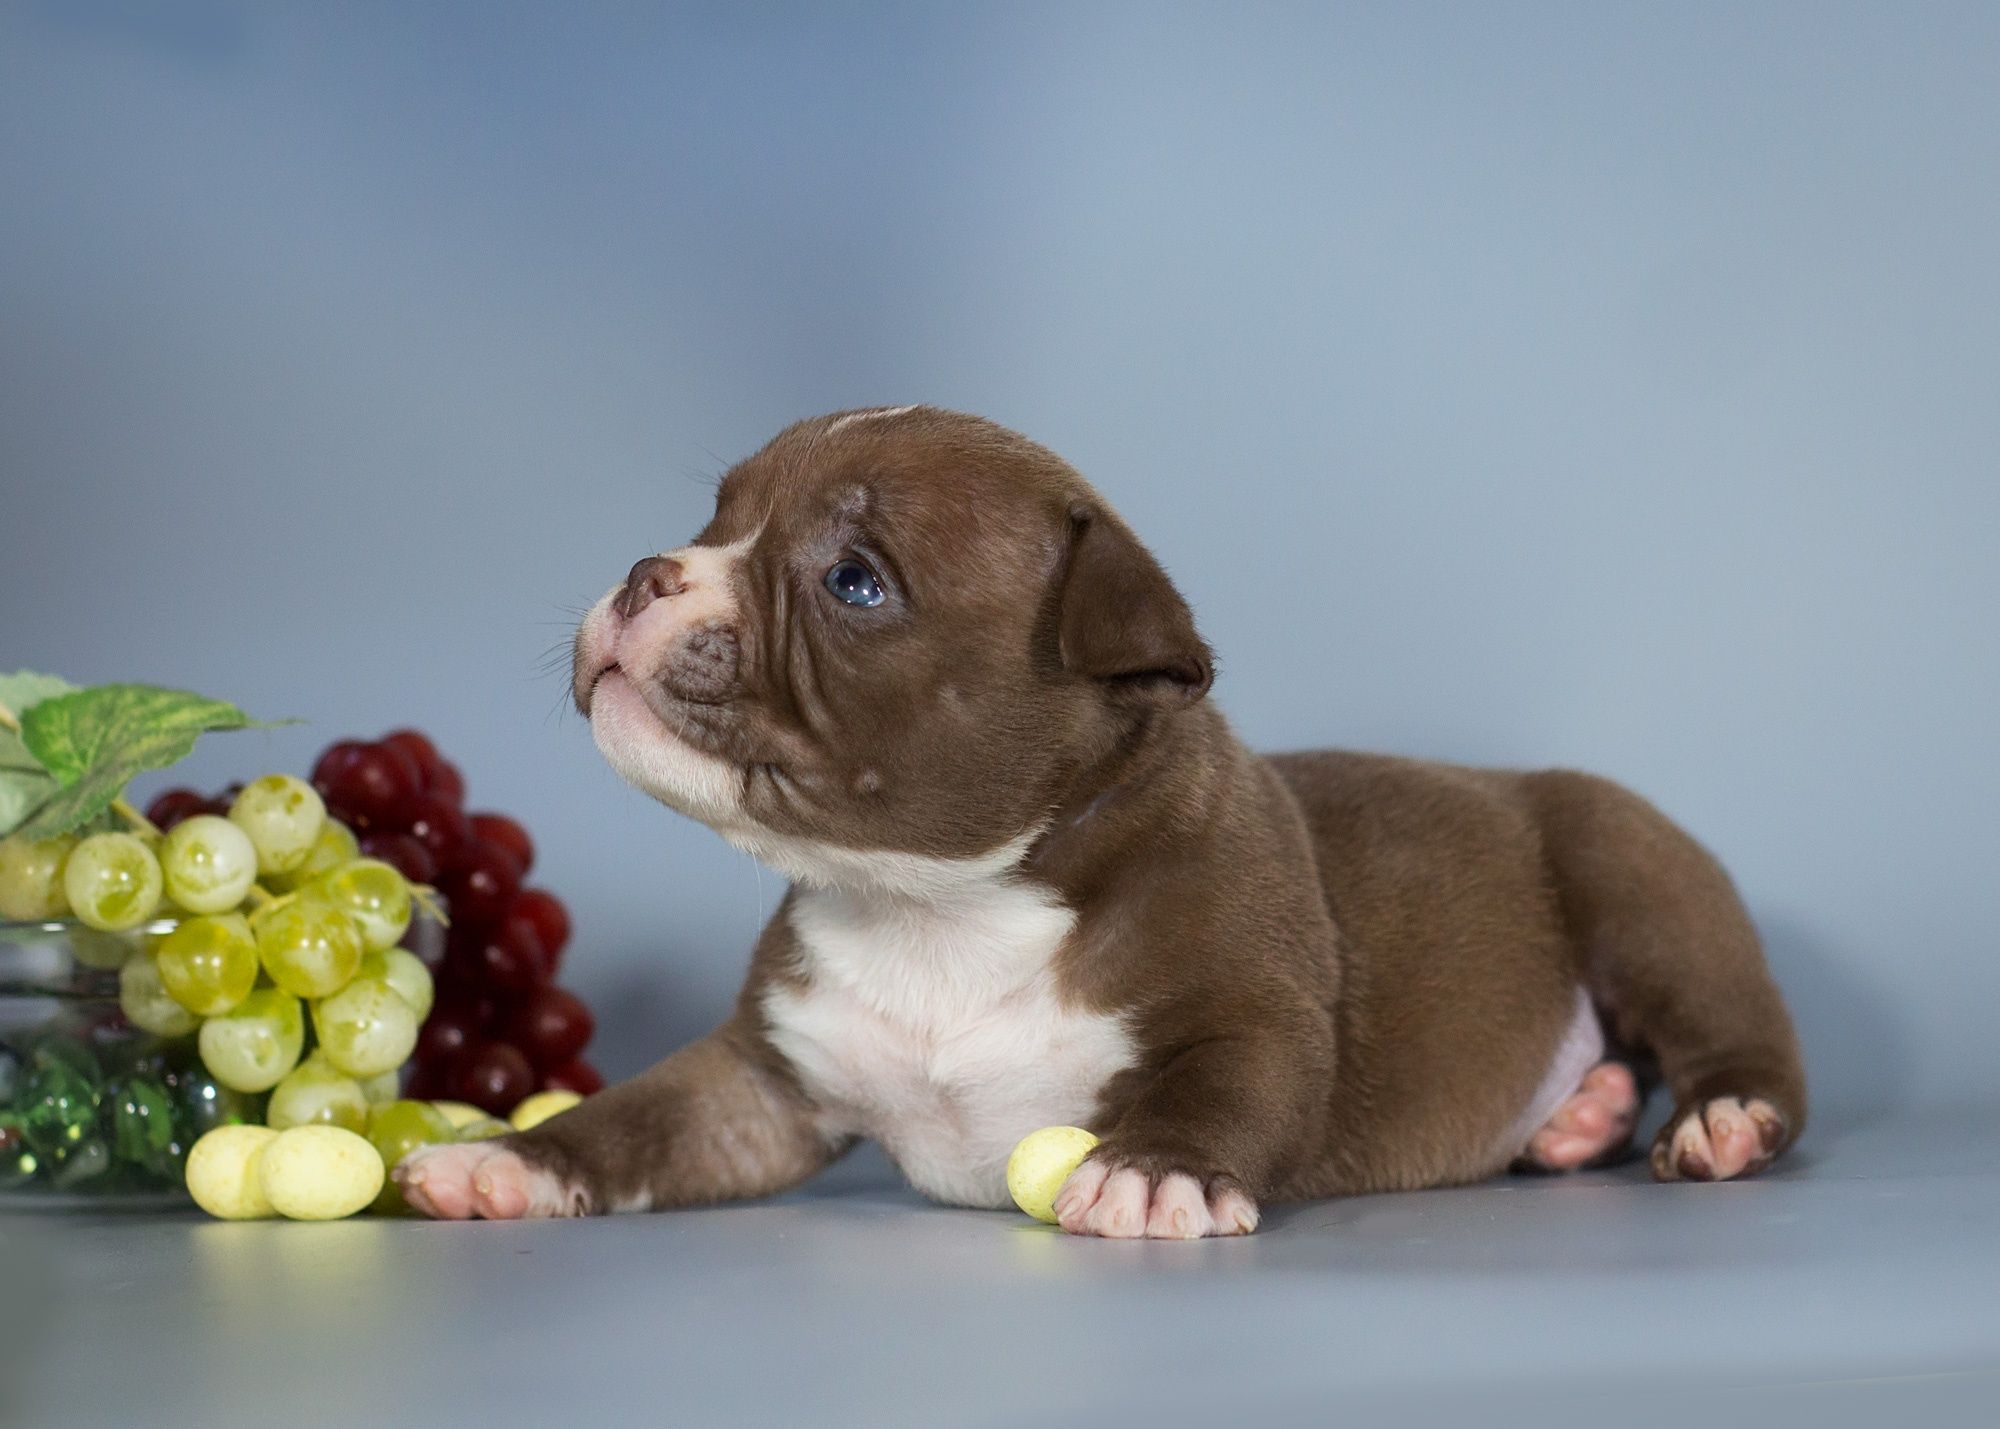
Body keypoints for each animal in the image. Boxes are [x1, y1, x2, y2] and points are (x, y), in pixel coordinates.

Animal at [398, 404, 1808, 1232]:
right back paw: (1574, 1117)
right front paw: (513, 1161)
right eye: (714, 518)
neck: (933, 901)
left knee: (1733, 1034)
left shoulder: (1256, 1011)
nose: (648, 572)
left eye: (853, 583)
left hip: (1633, 871)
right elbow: (648, 1113)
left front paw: (1150, 1170)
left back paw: (1717, 1120)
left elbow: (1223, 1079)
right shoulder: (762, 1080)